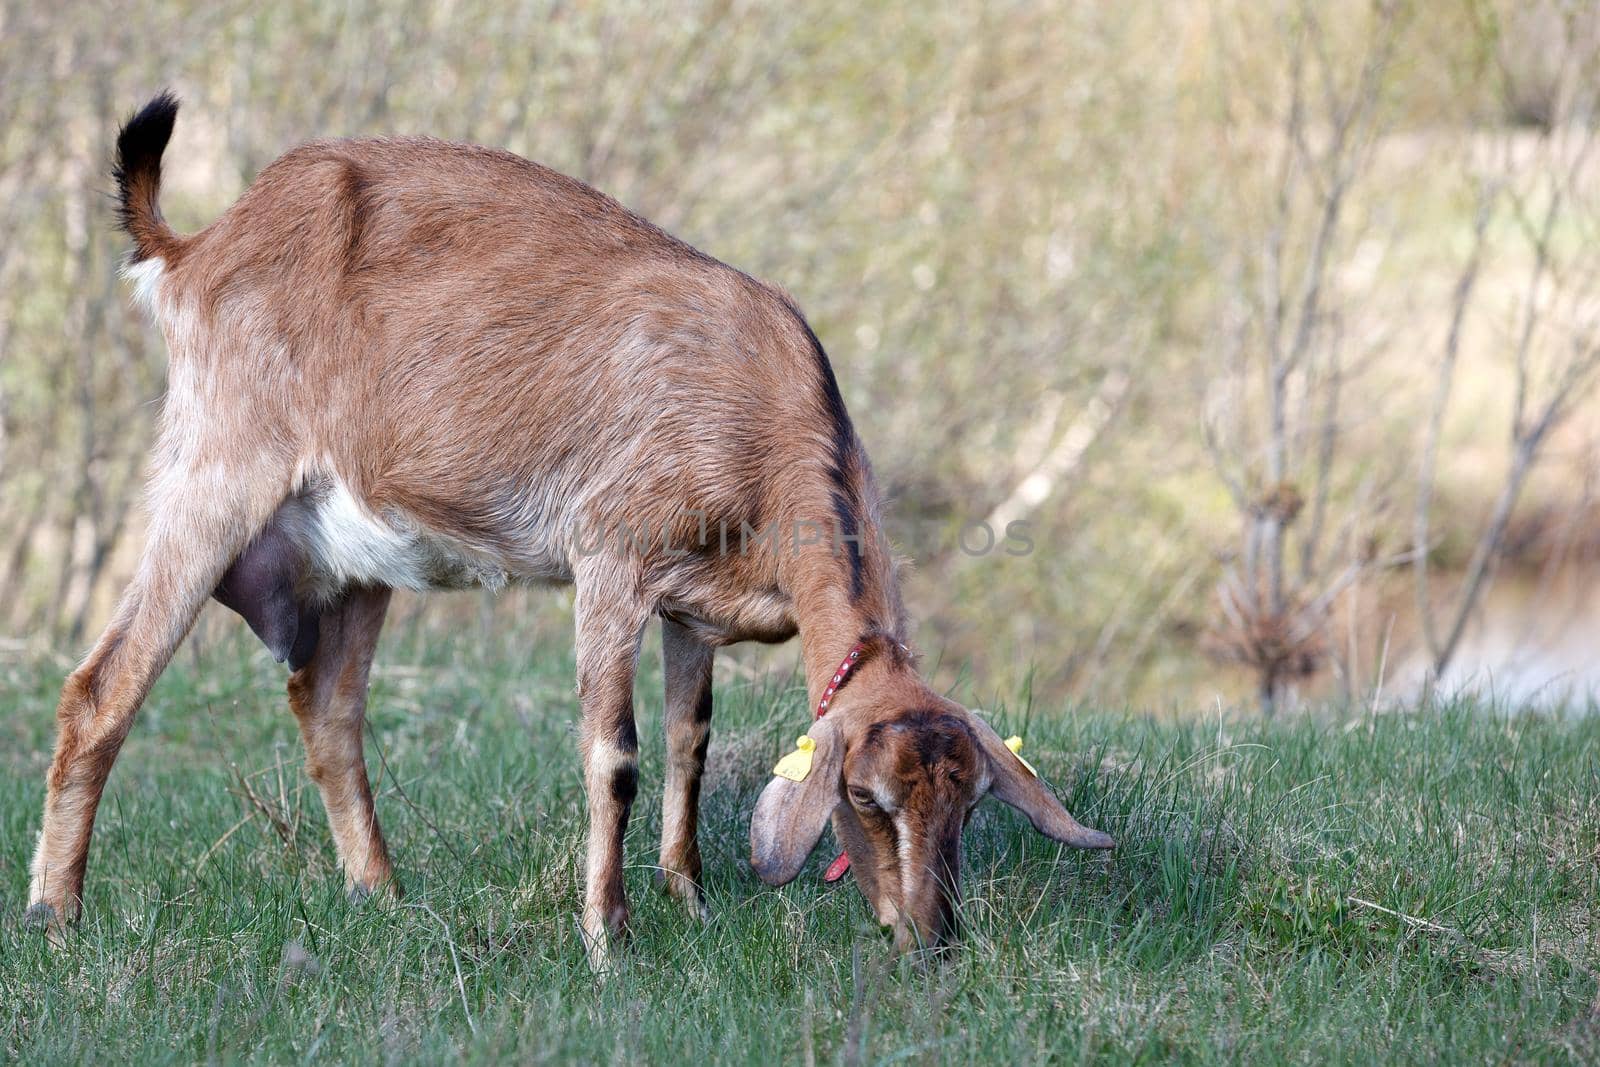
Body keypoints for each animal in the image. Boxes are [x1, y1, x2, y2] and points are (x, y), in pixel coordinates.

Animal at [21, 93, 1113, 959]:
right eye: (867, 799)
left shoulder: (693, 607)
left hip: (360, 549)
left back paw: (382, 894)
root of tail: (198, 246)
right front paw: (606, 933)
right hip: (216, 475)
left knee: (327, 707)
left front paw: (689, 896)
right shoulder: (610, 560)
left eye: (969, 802)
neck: (760, 408)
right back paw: (55, 913)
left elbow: (689, 741)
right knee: (100, 687)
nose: (931, 939)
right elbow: (615, 751)